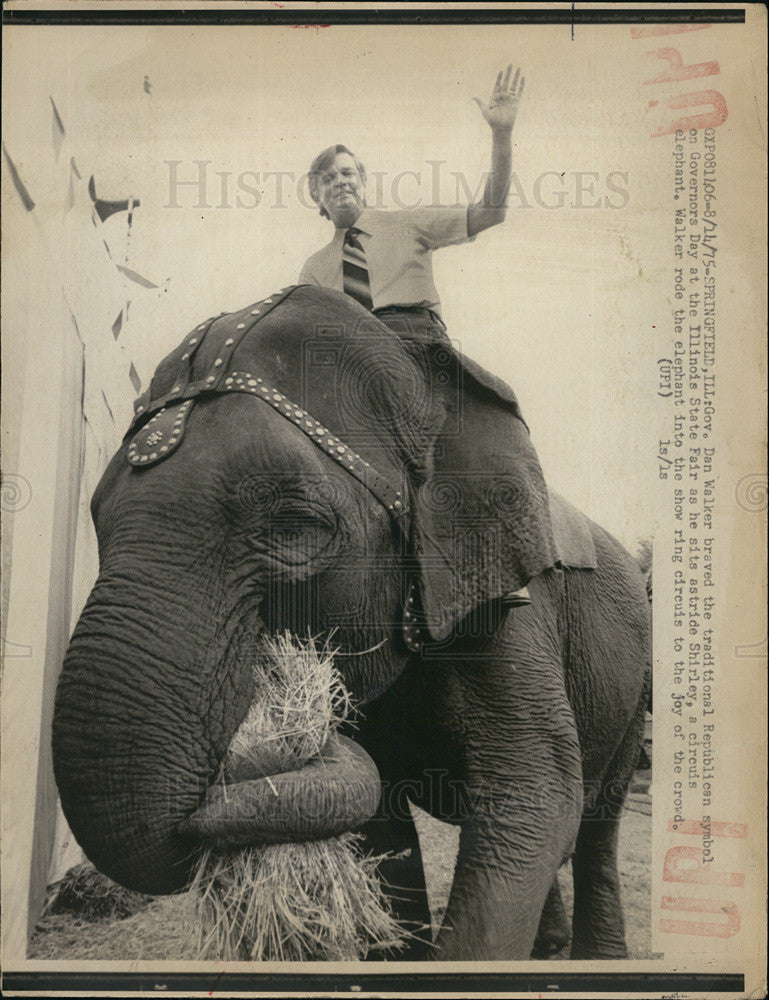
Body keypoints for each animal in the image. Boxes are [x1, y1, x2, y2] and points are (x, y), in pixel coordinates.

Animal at [52, 284, 648, 960]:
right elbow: (380, 826)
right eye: (96, 518)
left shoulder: (508, 608)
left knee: (598, 819)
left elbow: (533, 799)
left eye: (294, 528)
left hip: (636, 687)